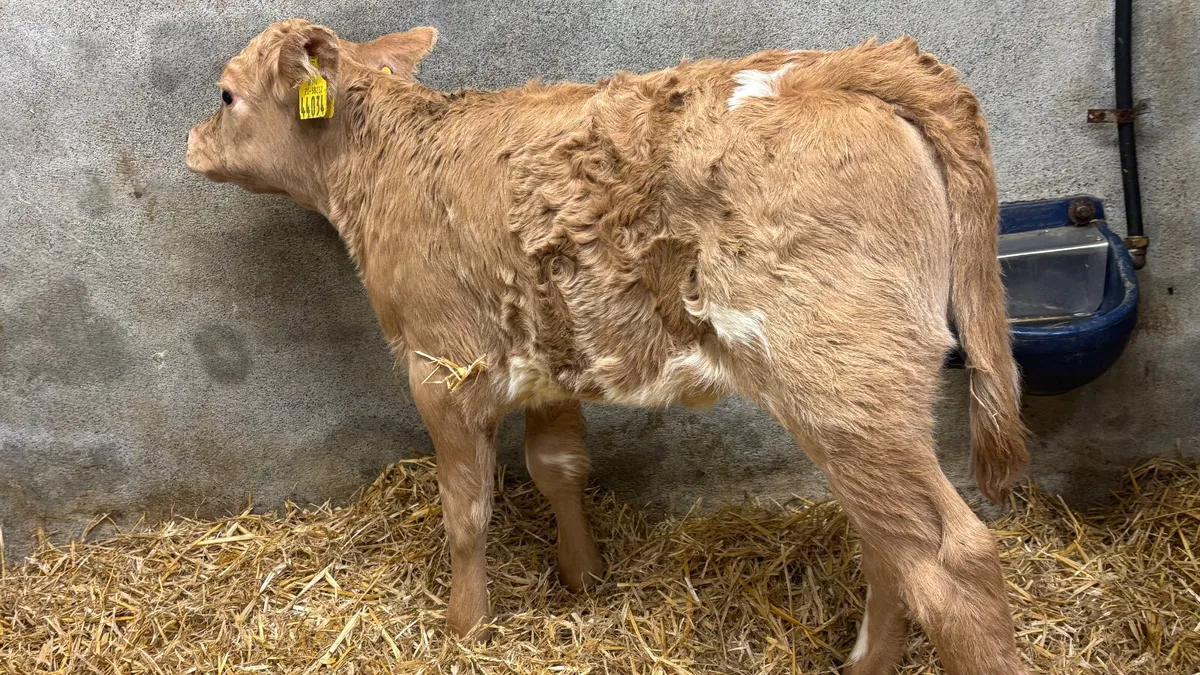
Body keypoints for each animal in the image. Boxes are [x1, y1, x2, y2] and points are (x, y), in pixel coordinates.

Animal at [186, 19, 1030, 675]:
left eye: (225, 94)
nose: (191, 140)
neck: (389, 160)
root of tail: (838, 64)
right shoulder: (550, 353)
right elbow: (558, 466)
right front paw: (583, 575)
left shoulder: (441, 366)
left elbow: (467, 508)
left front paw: (466, 626)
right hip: (861, 399)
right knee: (890, 542)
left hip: (843, 378)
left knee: (951, 560)